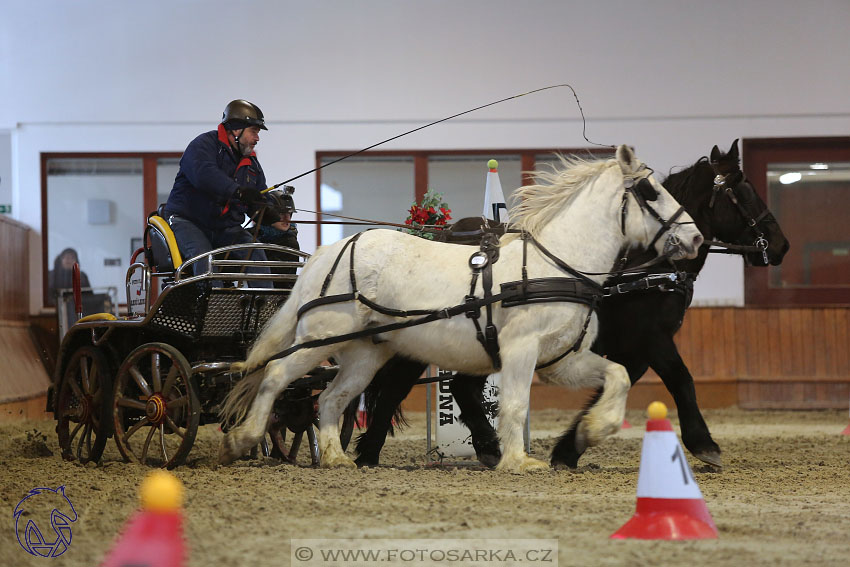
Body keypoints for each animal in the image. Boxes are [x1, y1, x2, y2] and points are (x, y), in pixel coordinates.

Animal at [219, 144, 704, 472]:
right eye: (651, 192)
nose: (696, 238)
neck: (556, 262)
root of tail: (331, 250)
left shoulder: (562, 360)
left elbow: (617, 376)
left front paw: (590, 431)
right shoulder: (520, 350)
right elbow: (513, 405)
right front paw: (517, 461)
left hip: (366, 353)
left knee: (333, 398)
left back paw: (337, 458)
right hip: (319, 338)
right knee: (277, 375)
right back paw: (242, 440)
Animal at [348, 140, 784, 468]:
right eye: (742, 191)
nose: (781, 246)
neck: (642, 267)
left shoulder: (630, 347)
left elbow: (617, 381)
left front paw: (572, 444)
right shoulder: (651, 338)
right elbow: (682, 380)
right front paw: (704, 444)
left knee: (459, 387)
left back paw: (486, 447)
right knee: (397, 386)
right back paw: (369, 452)